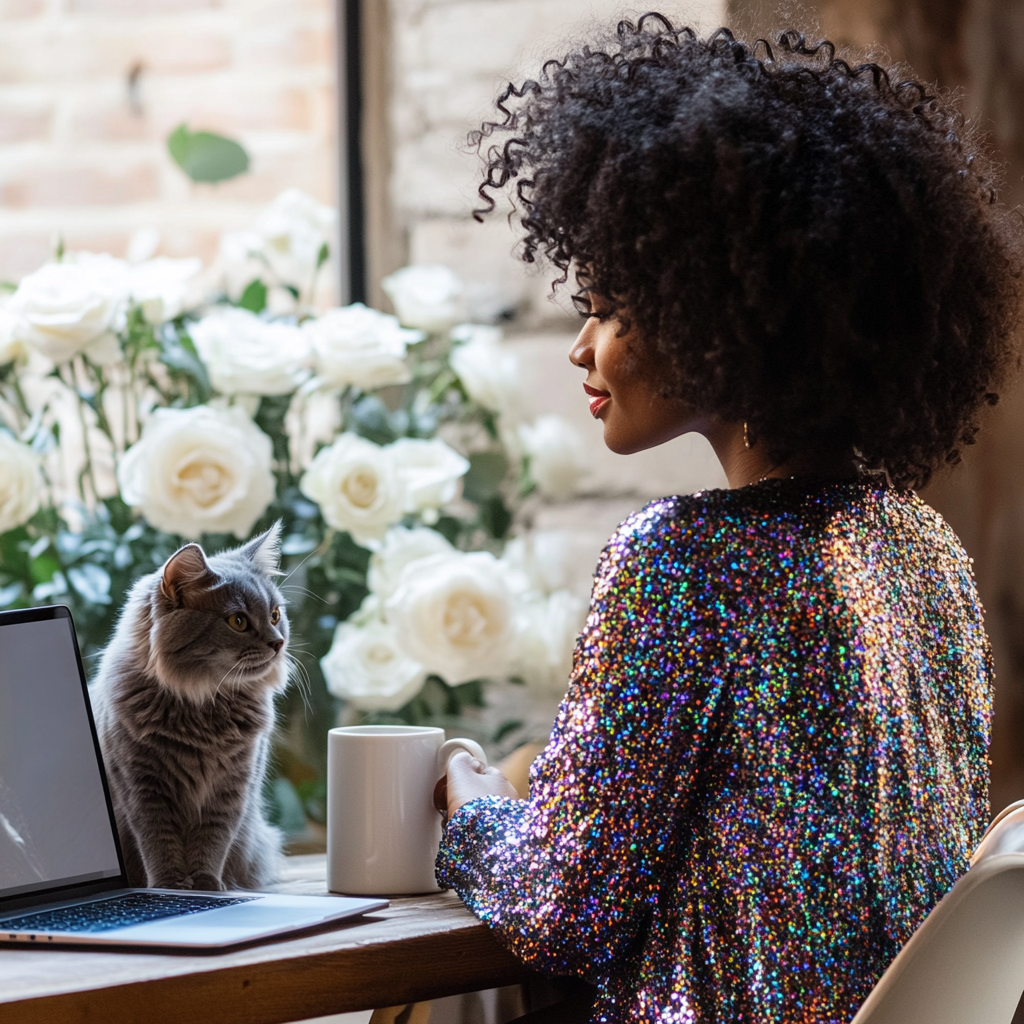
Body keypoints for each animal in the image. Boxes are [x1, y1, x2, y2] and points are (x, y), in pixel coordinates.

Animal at [90, 524, 290, 892]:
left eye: (275, 615)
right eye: (238, 621)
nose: (278, 643)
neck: (203, 704)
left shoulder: (232, 786)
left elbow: (212, 840)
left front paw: (208, 885)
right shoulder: (142, 786)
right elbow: (158, 842)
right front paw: (168, 886)